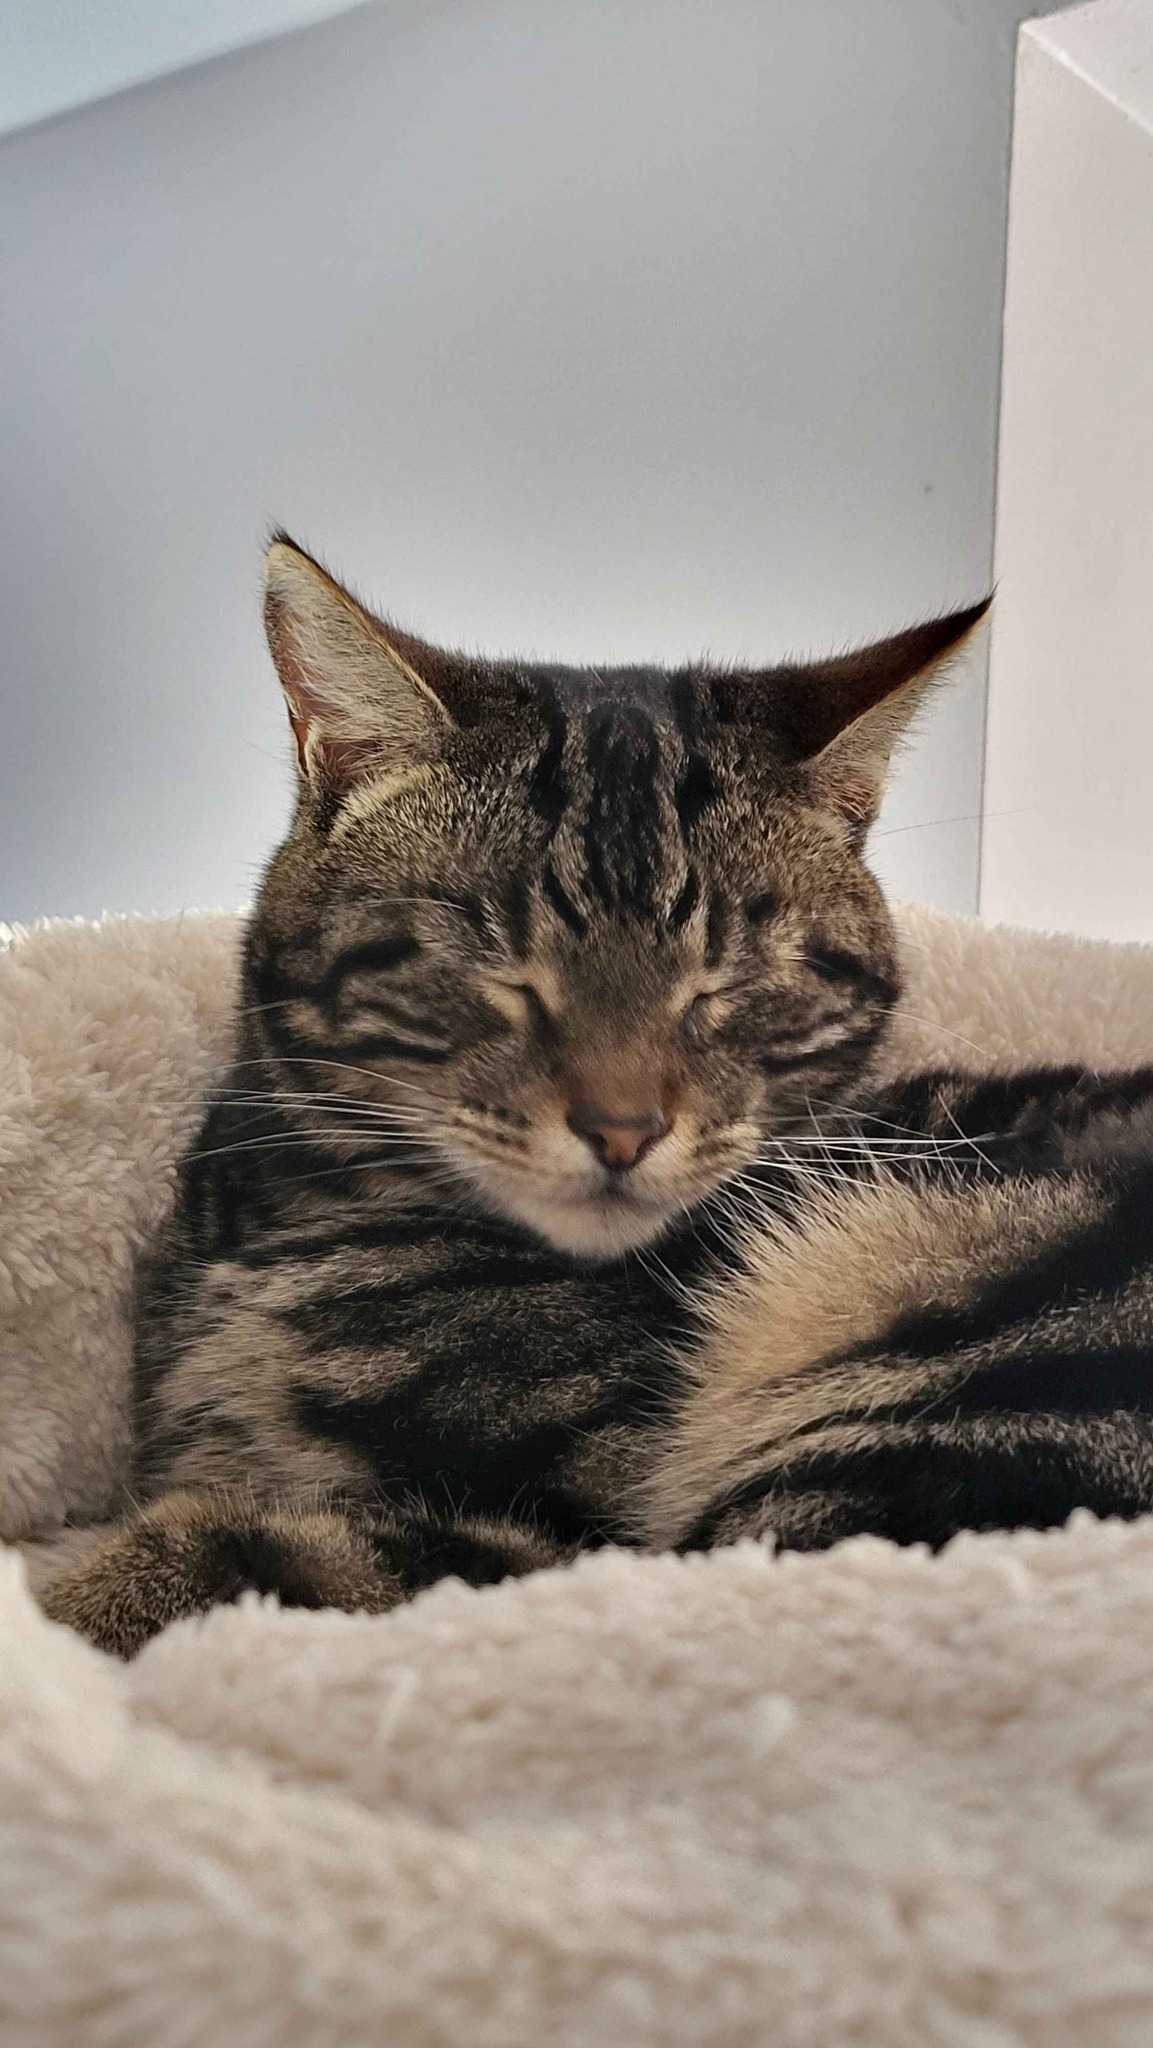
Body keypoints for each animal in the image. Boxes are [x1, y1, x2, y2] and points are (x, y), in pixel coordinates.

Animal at [40, 538, 1153, 1658]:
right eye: (507, 974)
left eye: (723, 987)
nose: (622, 1131)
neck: (286, 1224)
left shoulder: (569, 1540)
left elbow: (225, 1554)